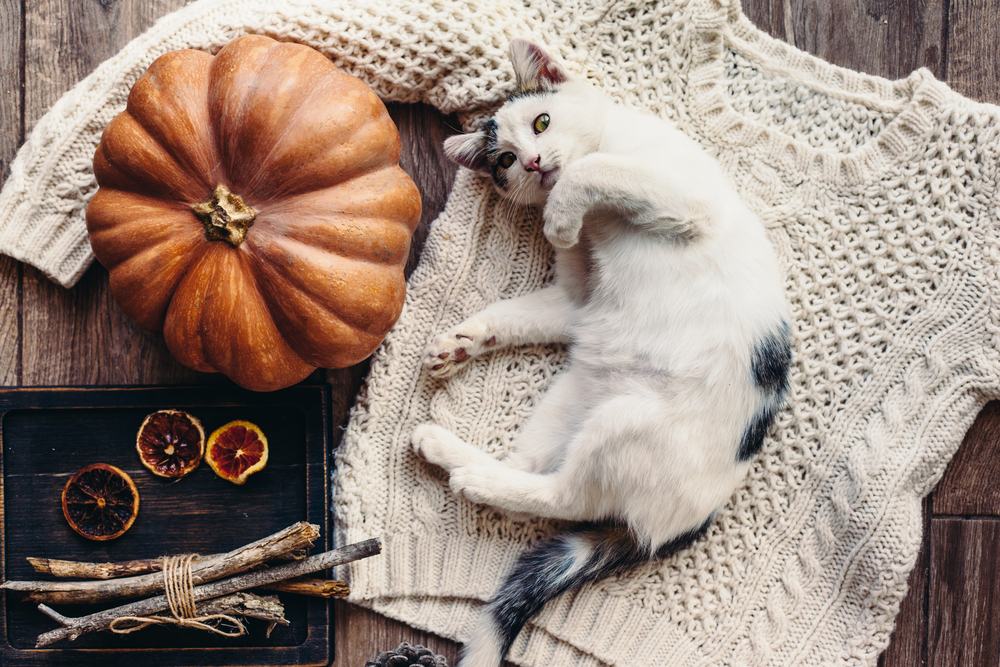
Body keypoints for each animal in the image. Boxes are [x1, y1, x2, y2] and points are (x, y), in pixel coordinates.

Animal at [410, 40, 784, 667]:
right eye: (504, 160)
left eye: (542, 122)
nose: (536, 165)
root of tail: (698, 515)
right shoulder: (578, 301)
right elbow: (518, 314)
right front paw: (460, 344)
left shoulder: (686, 196)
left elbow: (593, 169)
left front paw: (560, 214)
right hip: (573, 399)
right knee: (534, 479)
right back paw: (449, 452)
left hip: (625, 422)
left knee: (565, 498)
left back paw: (473, 481)